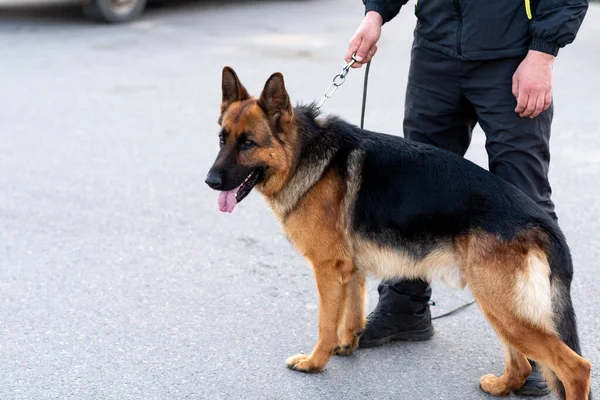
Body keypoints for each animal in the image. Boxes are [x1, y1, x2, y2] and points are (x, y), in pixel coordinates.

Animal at [205, 67, 592, 398]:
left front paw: (315, 362)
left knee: (575, 367)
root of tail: (541, 221)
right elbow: (352, 311)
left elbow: (325, 323)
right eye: (222, 139)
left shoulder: (328, 270)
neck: (303, 154)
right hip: (496, 304)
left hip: (502, 306)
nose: (209, 181)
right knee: (523, 364)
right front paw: (347, 345)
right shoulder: (350, 269)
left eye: (248, 143)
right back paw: (500, 386)